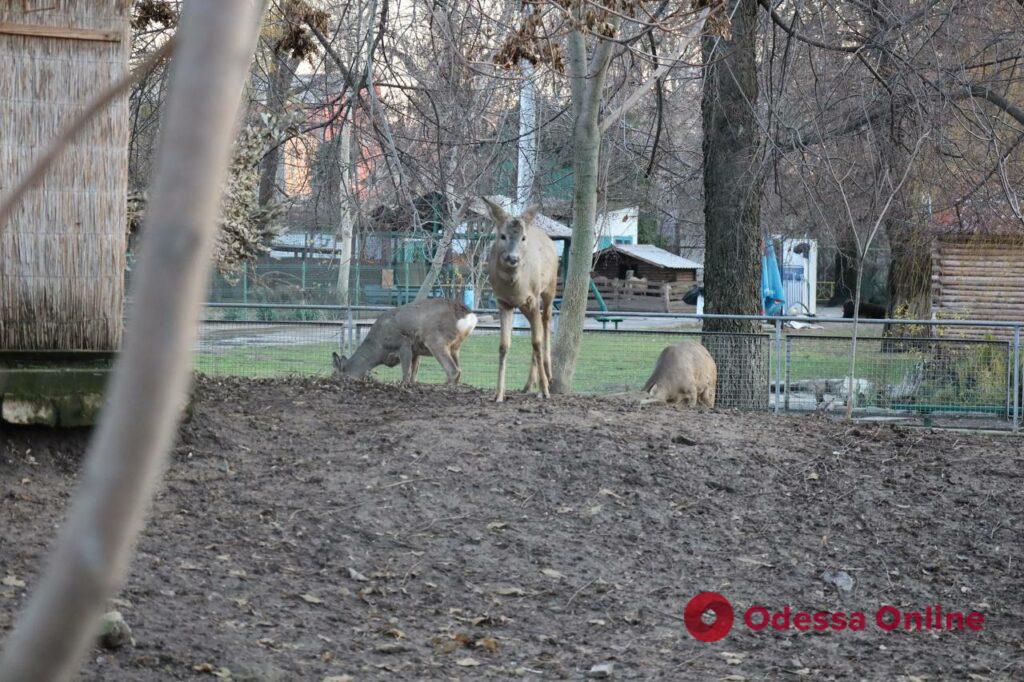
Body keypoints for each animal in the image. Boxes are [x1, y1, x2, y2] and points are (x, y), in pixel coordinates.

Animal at [335, 296, 479, 382]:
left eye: (336, 374)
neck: (379, 348)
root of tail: (469, 315)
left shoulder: (403, 343)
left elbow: (405, 374)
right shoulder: (416, 351)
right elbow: (413, 376)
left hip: (435, 340)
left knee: (452, 370)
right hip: (455, 346)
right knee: (459, 370)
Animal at [481, 196, 561, 399]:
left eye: (523, 237)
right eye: (502, 236)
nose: (513, 258)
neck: (514, 288)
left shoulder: (532, 298)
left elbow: (536, 342)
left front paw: (544, 390)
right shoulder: (503, 302)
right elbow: (503, 346)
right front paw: (498, 394)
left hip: (550, 287)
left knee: (546, 321)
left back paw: (548, 376)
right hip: (526, 305)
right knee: (538, 325)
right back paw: (529, 384)